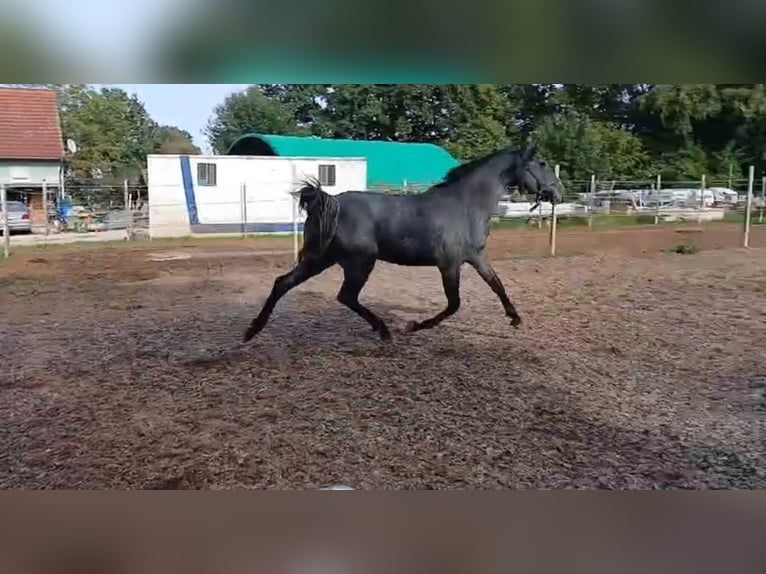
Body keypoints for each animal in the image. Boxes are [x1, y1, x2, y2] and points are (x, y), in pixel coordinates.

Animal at [243, 145, 563, 342]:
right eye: (542, 163)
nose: (558, 193)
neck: (465, 205)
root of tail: (329, 200)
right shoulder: (449, 264)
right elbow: (454, 304)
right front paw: (414, 326)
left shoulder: (475, 257)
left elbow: (497, 285)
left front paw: (515, 319)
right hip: (360, 262)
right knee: (345, 296)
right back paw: (384, 331)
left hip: (321, 259)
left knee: (283, 283)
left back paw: (251, 331)